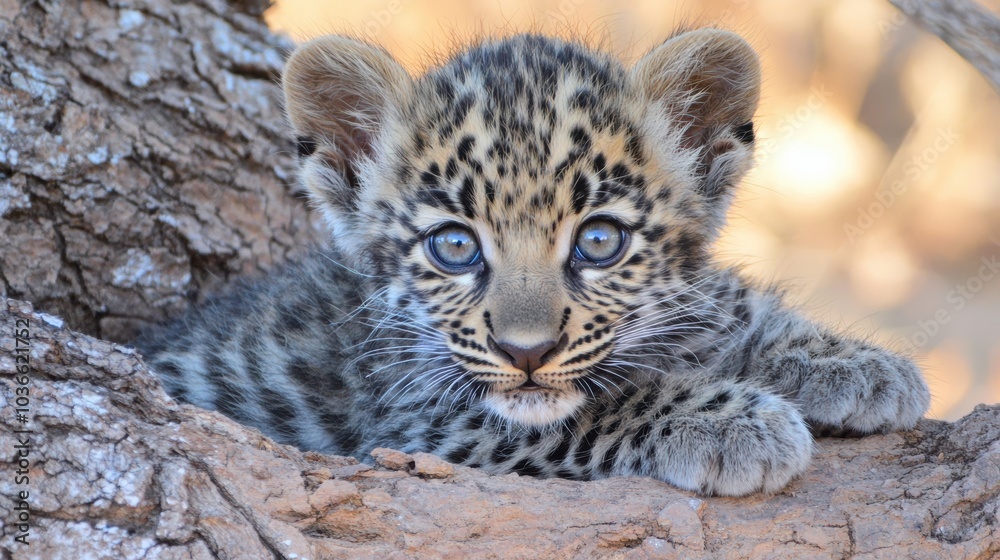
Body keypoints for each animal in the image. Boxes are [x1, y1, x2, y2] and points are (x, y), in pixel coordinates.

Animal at [136, 29, 931, 496]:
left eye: (599, 241)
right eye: (454, 246)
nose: (526, 352)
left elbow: (720, 299)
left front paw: (856, 365)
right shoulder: (424, 423)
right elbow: (597, 407)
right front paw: (735, 423)